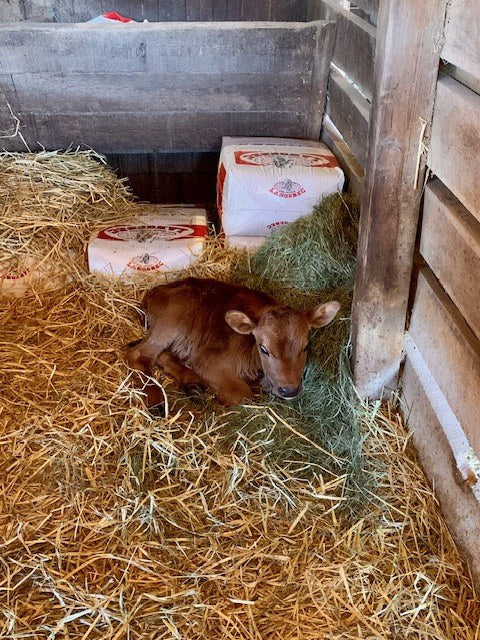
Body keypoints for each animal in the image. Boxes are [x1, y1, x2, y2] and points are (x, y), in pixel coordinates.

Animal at [126, 277, 340, 415]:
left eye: (306, 347)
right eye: (264, 349)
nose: (289, 390)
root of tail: (151, 294)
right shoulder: (209, 363)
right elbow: (243, 396)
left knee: (161, 353)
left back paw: (193, 385)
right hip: (174, 317)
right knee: (139, 353)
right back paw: (157, 403)